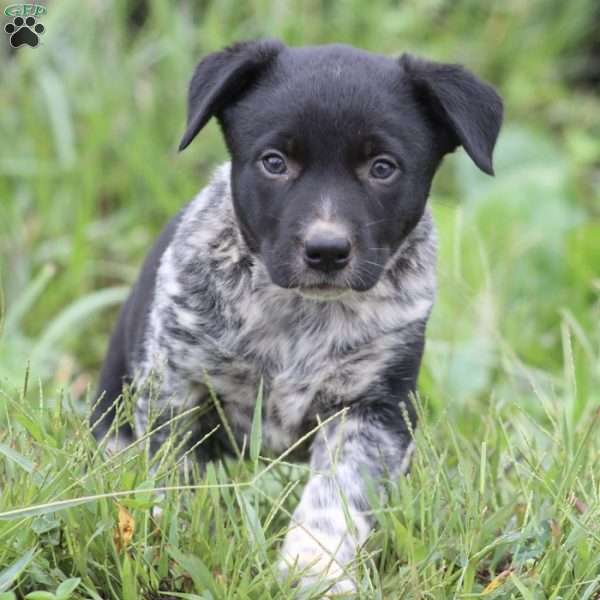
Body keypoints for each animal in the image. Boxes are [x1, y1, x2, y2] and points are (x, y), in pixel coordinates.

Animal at [90, 41, 502, 596]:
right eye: (274, 162)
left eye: (383, 167)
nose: (326, 250)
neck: (301, 314)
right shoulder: (175, 388)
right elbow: (171, 476)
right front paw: (165, 540)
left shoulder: (372, 409)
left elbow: (337, 495)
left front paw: (315, 570)